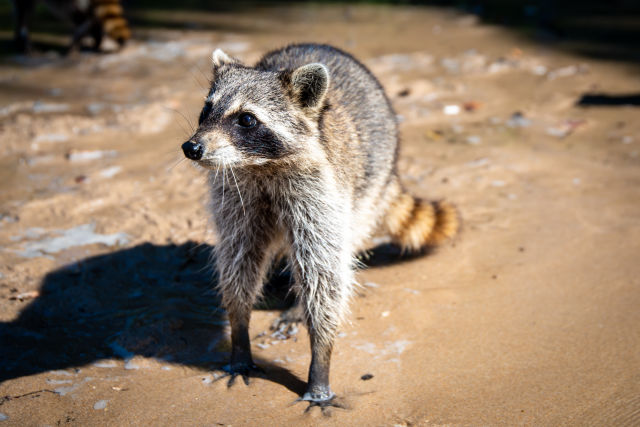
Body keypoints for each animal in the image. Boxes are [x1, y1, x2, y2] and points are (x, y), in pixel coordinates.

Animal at [181, 43, 459, 407]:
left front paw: (321, 357)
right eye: (206, 110)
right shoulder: (238, 195)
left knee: (344, 242)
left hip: (368, 186)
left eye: (246, 119)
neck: (262, 166)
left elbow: (324, 273)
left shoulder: (320, 191)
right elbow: (239, 258)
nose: (191, 147)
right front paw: (239, 330)